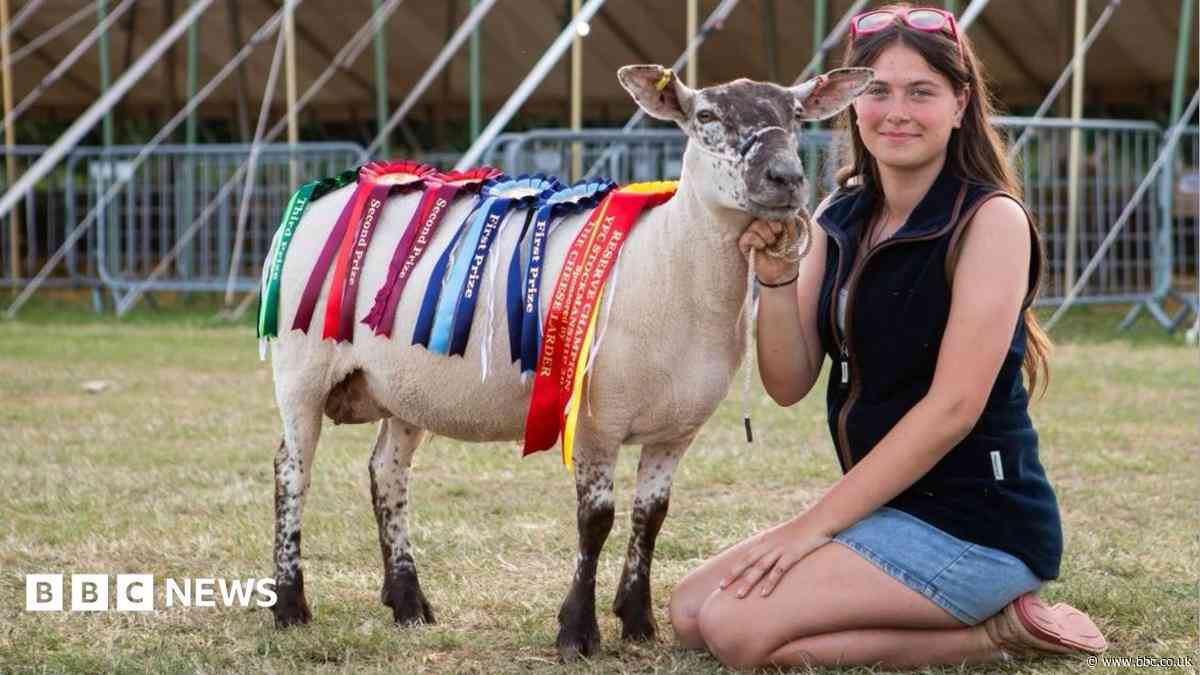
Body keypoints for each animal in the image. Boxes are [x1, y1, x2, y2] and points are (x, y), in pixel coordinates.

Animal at [264, 63, 872, 660]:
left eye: (796, 116)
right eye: (706, 116)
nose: (785, 178)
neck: (668, 263)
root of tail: (332, 188)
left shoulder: (676, 430)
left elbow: (651, 516)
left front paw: (639, 622)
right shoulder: (597, 417)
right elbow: (595, 520)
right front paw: (578, 632)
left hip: (402, 388)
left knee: (386, 473)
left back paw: (409, 603)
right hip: (300, 368)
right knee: (292, 470)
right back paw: (291, 607)